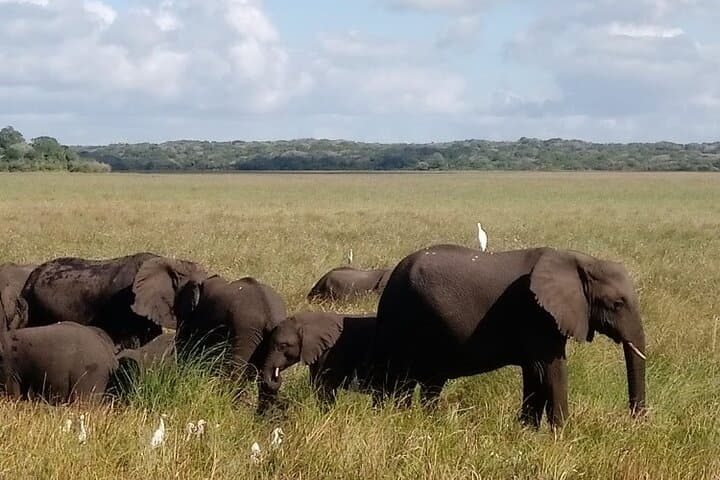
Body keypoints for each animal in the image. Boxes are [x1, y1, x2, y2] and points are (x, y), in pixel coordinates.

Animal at [366, 244, 646, 428]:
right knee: (396, 377)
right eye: (617, 304)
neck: (579, 260)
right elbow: (552, 370)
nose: (635, 423)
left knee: (423, 383)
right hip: (400, 320)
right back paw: (392, 419)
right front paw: (563, 434)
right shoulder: (537, 314)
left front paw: (527, 431)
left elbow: (535, 373)